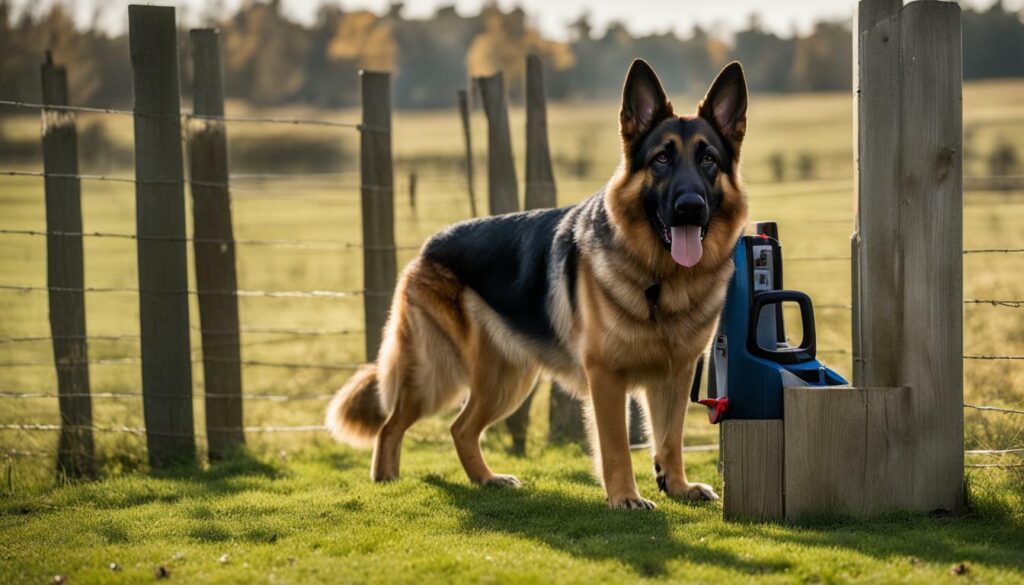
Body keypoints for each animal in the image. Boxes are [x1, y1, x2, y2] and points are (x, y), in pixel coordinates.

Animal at [331, 58, 749, 508]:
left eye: (708, 159)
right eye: (661, 160)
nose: (689, 207)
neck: (660, 278)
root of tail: (428, 247)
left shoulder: (675, 374)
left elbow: (670, 439)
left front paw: (678, 487)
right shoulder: (606, 377)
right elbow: (616, 446)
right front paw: (625, 497)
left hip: (506, 381)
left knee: (460, 428)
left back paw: (487, 479)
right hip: (437, 375)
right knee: (391, 426)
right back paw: (387, 480)